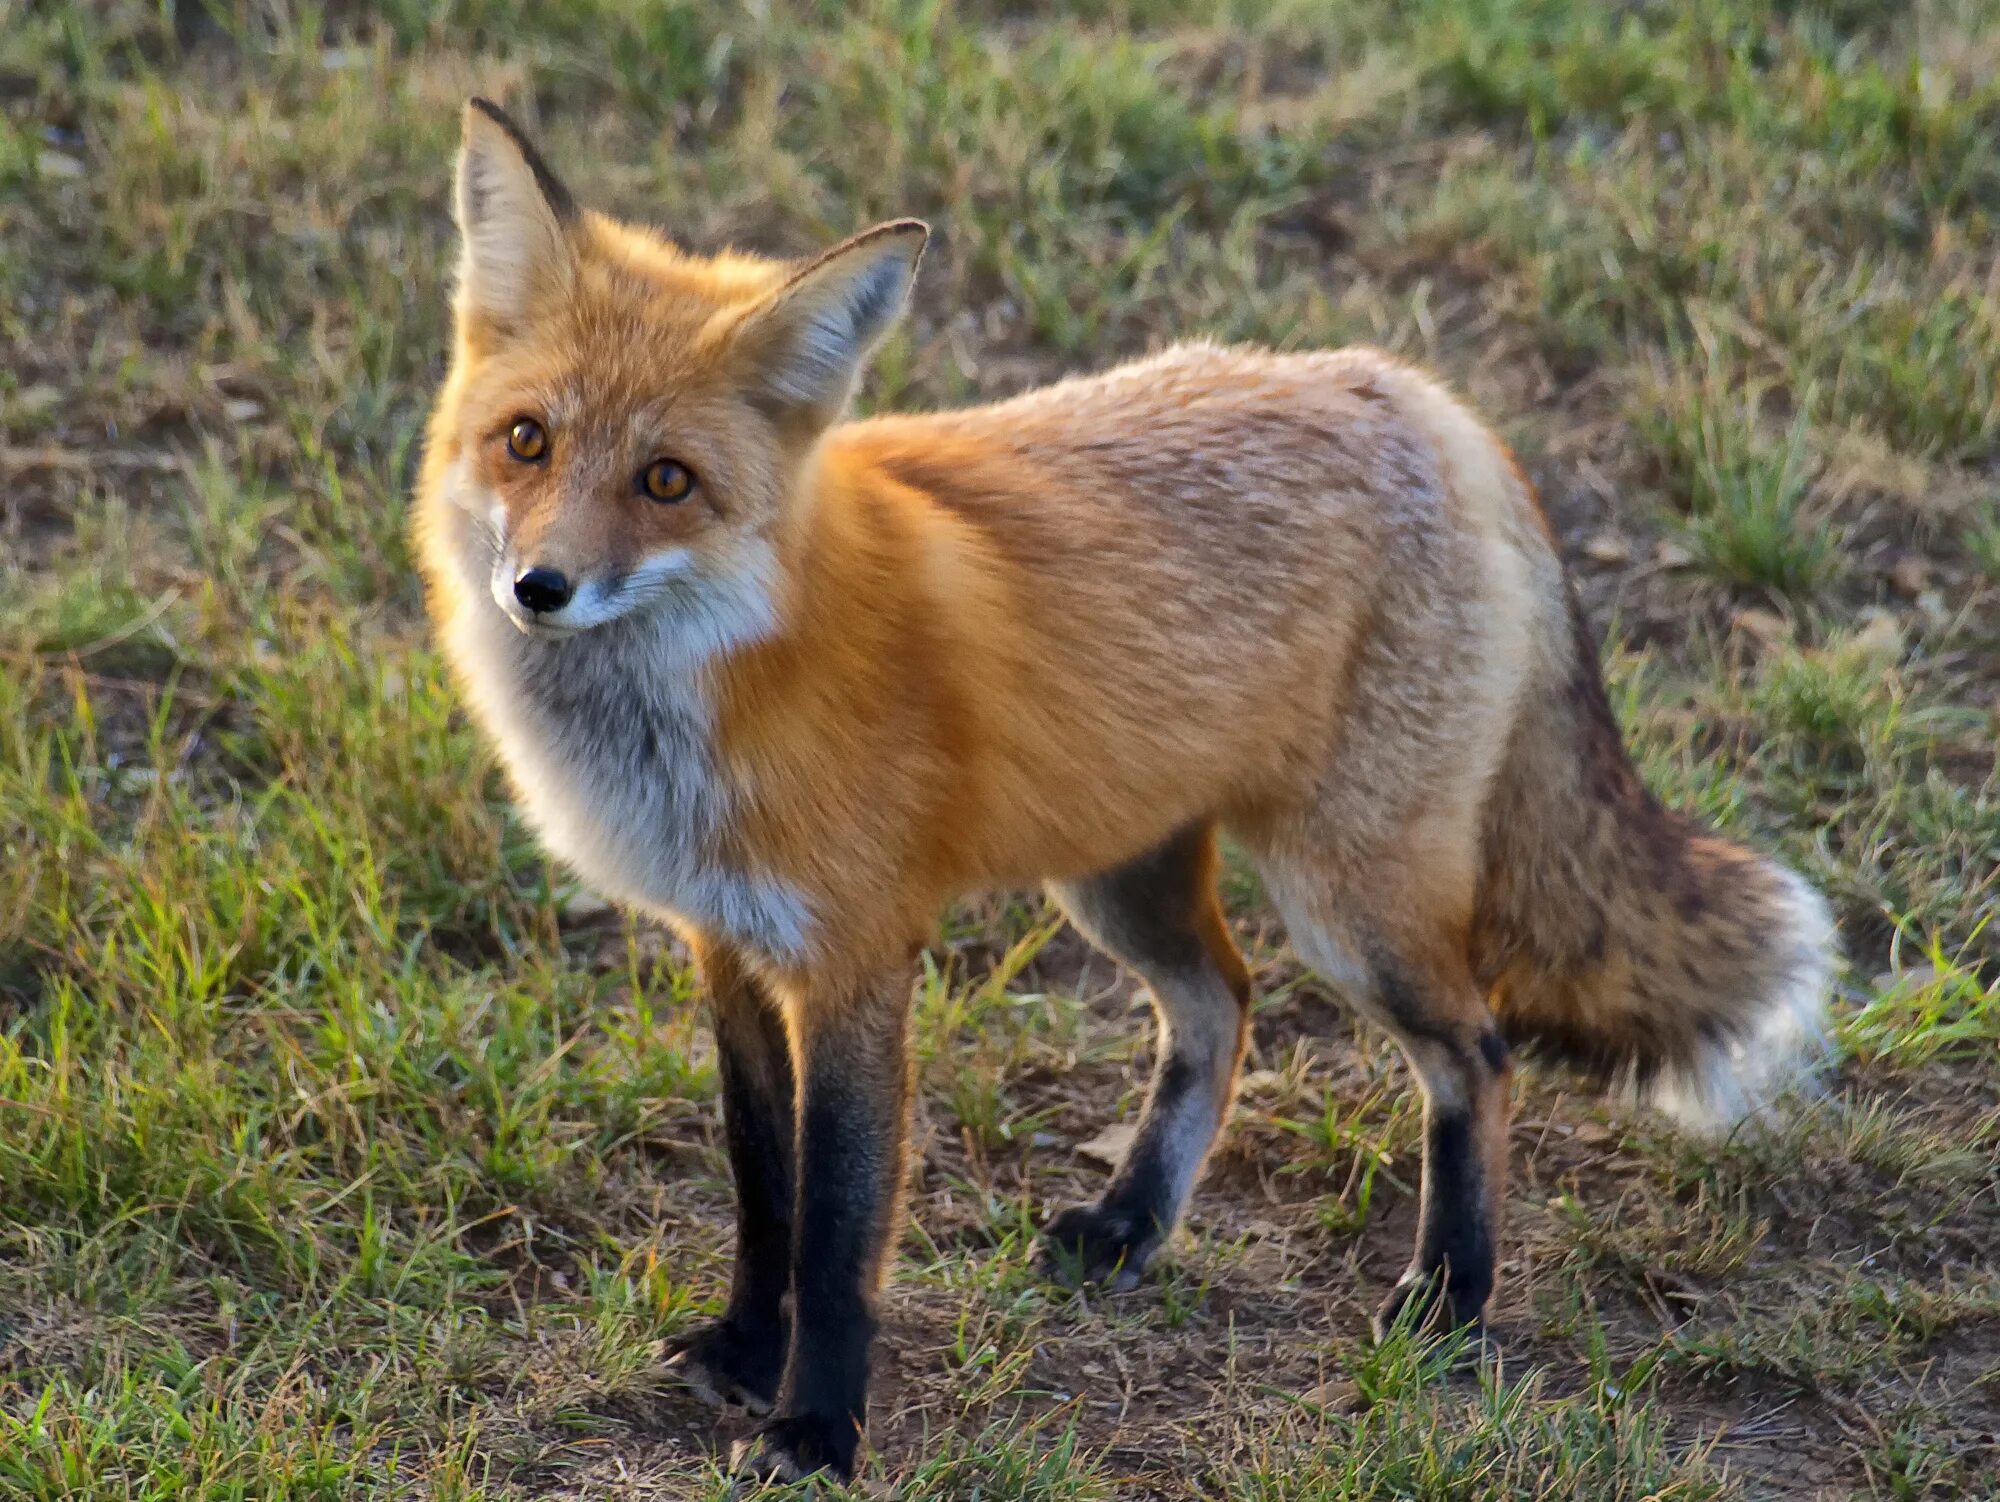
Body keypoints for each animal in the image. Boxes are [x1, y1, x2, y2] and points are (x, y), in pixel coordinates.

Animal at [414, 100, 1832, 1488]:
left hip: (1344, 904)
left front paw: (816, 1426)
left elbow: (834, 1227)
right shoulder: (728, 946)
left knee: (1474, 1052)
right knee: (1222, 1002)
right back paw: (1134, 1219)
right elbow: (764, 1190)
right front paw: (746, 1351)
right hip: (1114, 875)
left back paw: (1448, 1295)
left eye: (666, 480)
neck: (723, 681)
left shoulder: (857, 962)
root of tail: (1414, 394)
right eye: (527, 441)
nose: (539, 586)